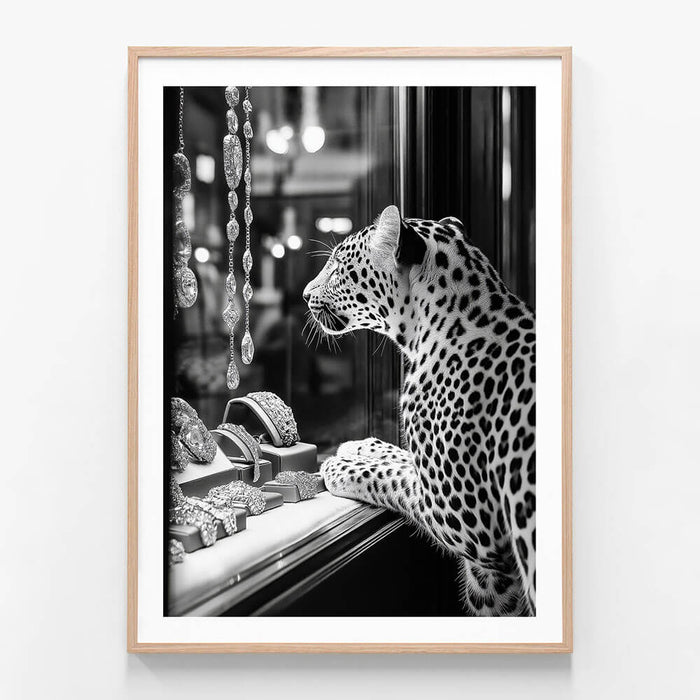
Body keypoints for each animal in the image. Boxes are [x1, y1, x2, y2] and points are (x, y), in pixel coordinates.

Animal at [303, 205, 536, 616]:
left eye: (336, 267)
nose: (304, 295)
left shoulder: (467, 521)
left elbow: (389, 476)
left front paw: (340, 465)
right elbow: (401, 457)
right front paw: (362, 446)